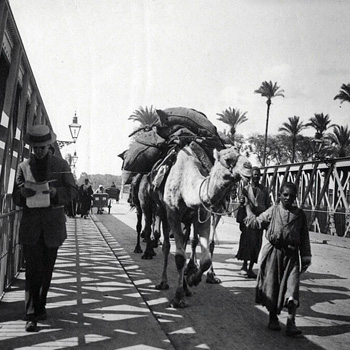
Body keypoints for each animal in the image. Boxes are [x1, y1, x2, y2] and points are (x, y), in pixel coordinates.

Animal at [157, 142, 252, 306]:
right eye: (227, 159)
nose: (249, 167)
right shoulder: (173, 214)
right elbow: (179, 257)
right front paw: (178, 297)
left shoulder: (203, 215)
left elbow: (206, 259)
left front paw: (192, 280)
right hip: (162, 213)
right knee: (167, 246)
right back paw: (164, 282)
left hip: (188, 220)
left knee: (187, 242)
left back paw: (187, 285)